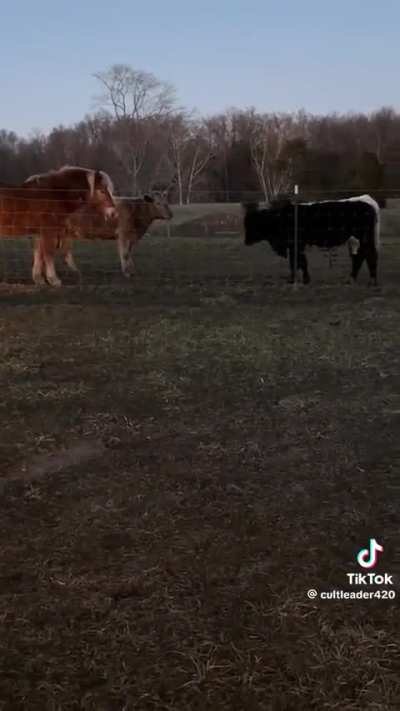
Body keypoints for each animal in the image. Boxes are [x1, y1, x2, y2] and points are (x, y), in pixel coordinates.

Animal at [32, 193, 173, 283]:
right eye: (158, 203)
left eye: (167, 203)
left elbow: (129, 252)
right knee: (44, 251)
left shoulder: (132, 237)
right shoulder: (123, 234)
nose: (171, 214)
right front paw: (127, 273)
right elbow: (124, 253)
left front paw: (132, 271)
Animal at [242, 194, 380, 286]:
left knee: (368, 255)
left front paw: (297, 279)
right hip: (358, 239)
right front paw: (301, 279)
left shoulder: (296, 245)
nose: (246, 241)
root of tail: (368, 203)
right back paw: (354, 278)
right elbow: (299, 262)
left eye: (254, 224)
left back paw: (371, 280)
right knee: (361, 256)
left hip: (363, 238)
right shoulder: (296, 246)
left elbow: (298, 262)